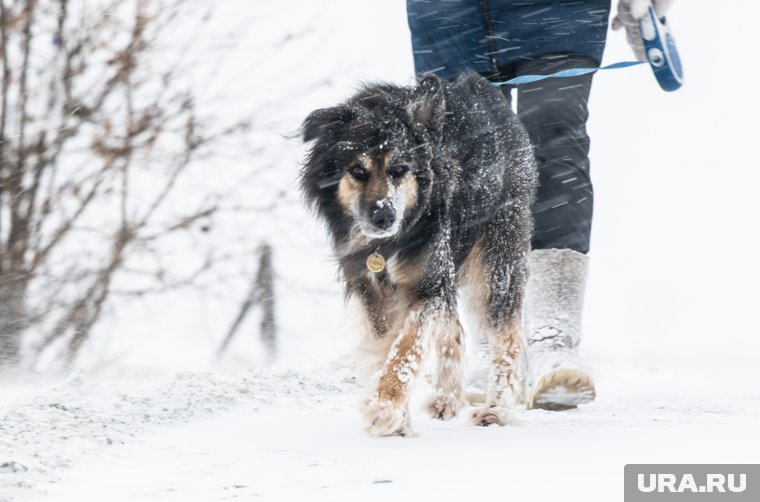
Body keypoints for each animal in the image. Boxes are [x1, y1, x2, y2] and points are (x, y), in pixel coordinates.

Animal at [300, 71, 536, 436]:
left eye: (399, 169)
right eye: (357, 171)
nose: (383, 217)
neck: (386, 245)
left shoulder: (425, 282)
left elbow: (405, 348)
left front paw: (385, 407)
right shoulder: (371, 288)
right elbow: (388, 345)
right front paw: (398, 418)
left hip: (496, 254)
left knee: (507, 336)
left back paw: (496, 410)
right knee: (454, 328)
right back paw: (447, 398)